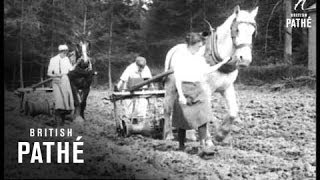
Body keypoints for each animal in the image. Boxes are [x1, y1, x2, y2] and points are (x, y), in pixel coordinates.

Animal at [164, 4, 258, 141]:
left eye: (253, 32)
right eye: (237, 30)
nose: (245, 59)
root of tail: (175, 49)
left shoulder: (227, 87)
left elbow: (233, 112)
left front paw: (221, 134)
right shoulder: (206, 89)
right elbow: (206, 114)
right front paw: (208, 140)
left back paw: (190, 135)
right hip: (170, 86)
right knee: (167, 109)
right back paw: (168, 135)